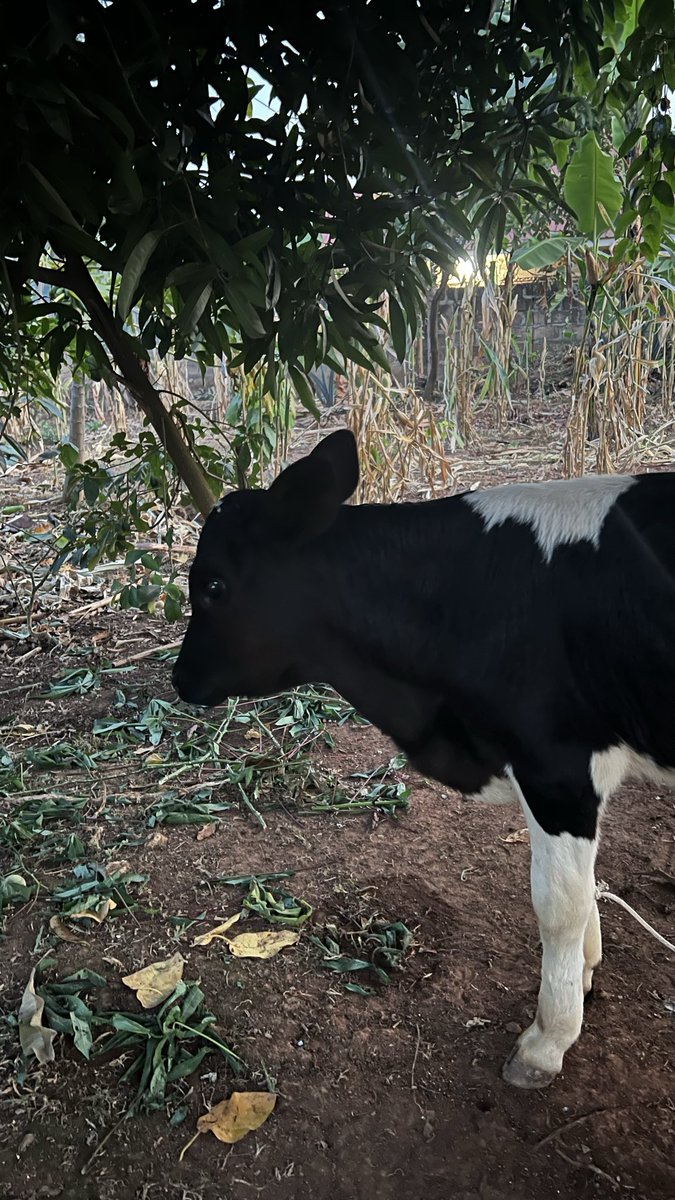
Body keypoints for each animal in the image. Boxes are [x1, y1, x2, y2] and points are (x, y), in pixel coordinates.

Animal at [173, 428, 675, 1089]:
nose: (180, 678)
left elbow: (558, 903)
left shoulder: (556, 766)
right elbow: (586, 885)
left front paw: (547, 1041)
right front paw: (587, 975)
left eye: (213, 587)